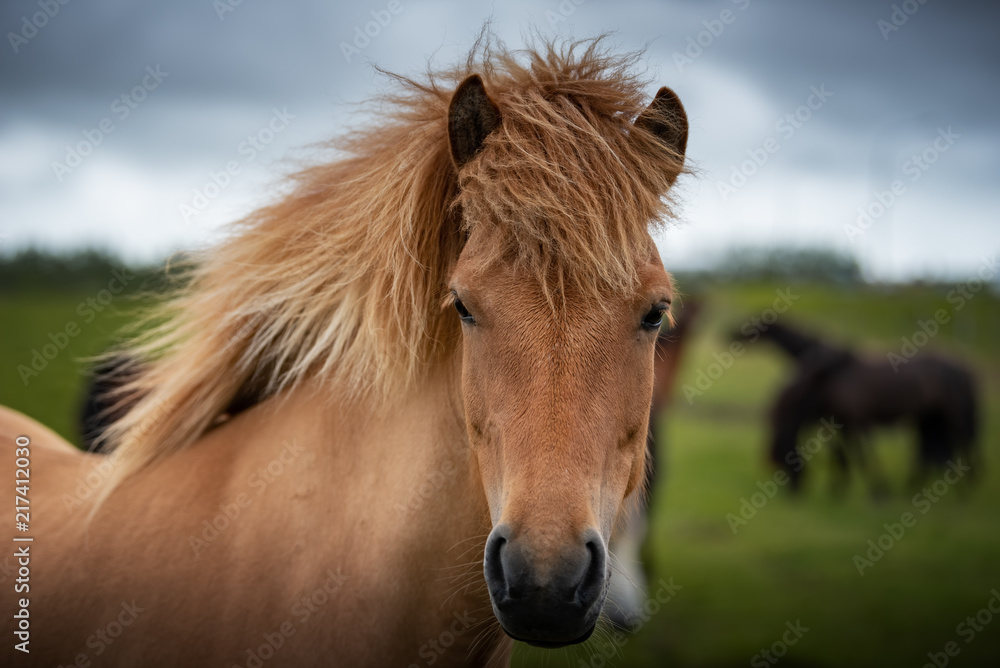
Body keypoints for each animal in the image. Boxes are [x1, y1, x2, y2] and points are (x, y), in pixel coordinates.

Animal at [736, 321, 979, 494]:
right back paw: (919, 487)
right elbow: (844, 456)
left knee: (957, 445)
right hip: (930, 420)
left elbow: (862, 455)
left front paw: (878, 492)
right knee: (933, 452)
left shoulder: (858, 421)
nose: (793, 494)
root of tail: (963, 366)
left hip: (951, 417)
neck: (828, 381)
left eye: (786, 457)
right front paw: (838, 490)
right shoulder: (840, 423)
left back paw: (962, 490)